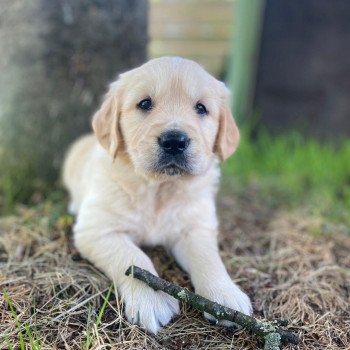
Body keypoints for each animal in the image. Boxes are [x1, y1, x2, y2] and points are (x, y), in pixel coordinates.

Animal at [63, 56, 252, 334]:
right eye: (145, 104)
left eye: (201, 108)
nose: (174, 141)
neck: (160, 189)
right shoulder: (97, 230)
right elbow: (133, 258)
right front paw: (151, 300)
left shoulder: (195, 227)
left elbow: (208, 258)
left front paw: (225, 297)